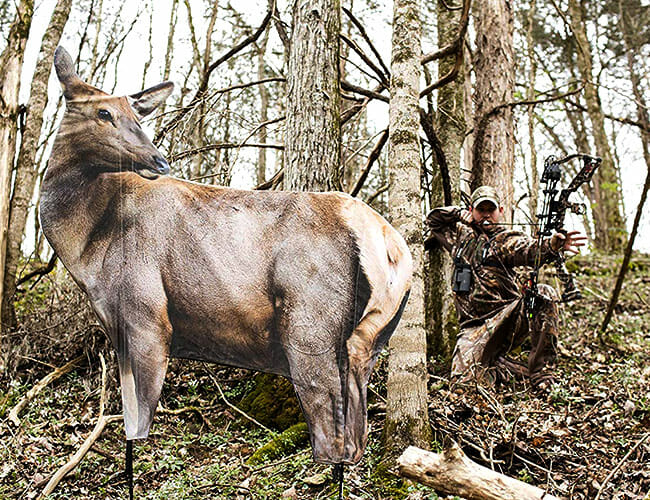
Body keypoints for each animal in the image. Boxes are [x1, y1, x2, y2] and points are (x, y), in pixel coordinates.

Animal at [41, 47, 412, 490]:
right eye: (103, 112)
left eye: (136, 114)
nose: (159, 159)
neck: (87, 246)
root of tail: (388, 241)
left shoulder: (146, 314)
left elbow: (139, 422)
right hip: (369, 338)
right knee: (355, 431)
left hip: (310, 328)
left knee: (332, 433)